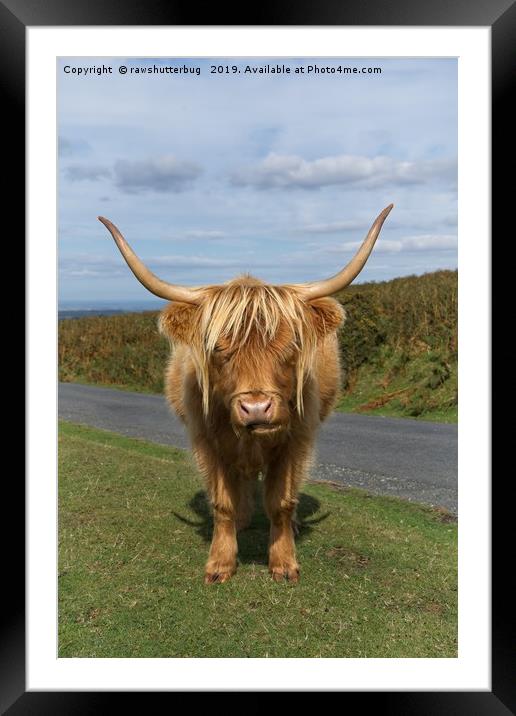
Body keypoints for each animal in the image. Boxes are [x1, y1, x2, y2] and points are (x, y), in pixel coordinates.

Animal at [99, 203, 394, 580]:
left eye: (292, 344)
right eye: (217, 348)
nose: (256, 408)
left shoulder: (298, 439)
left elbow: (282, 501)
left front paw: (284, 562)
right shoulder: (206, 440)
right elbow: (222, 501)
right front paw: (220, 562)